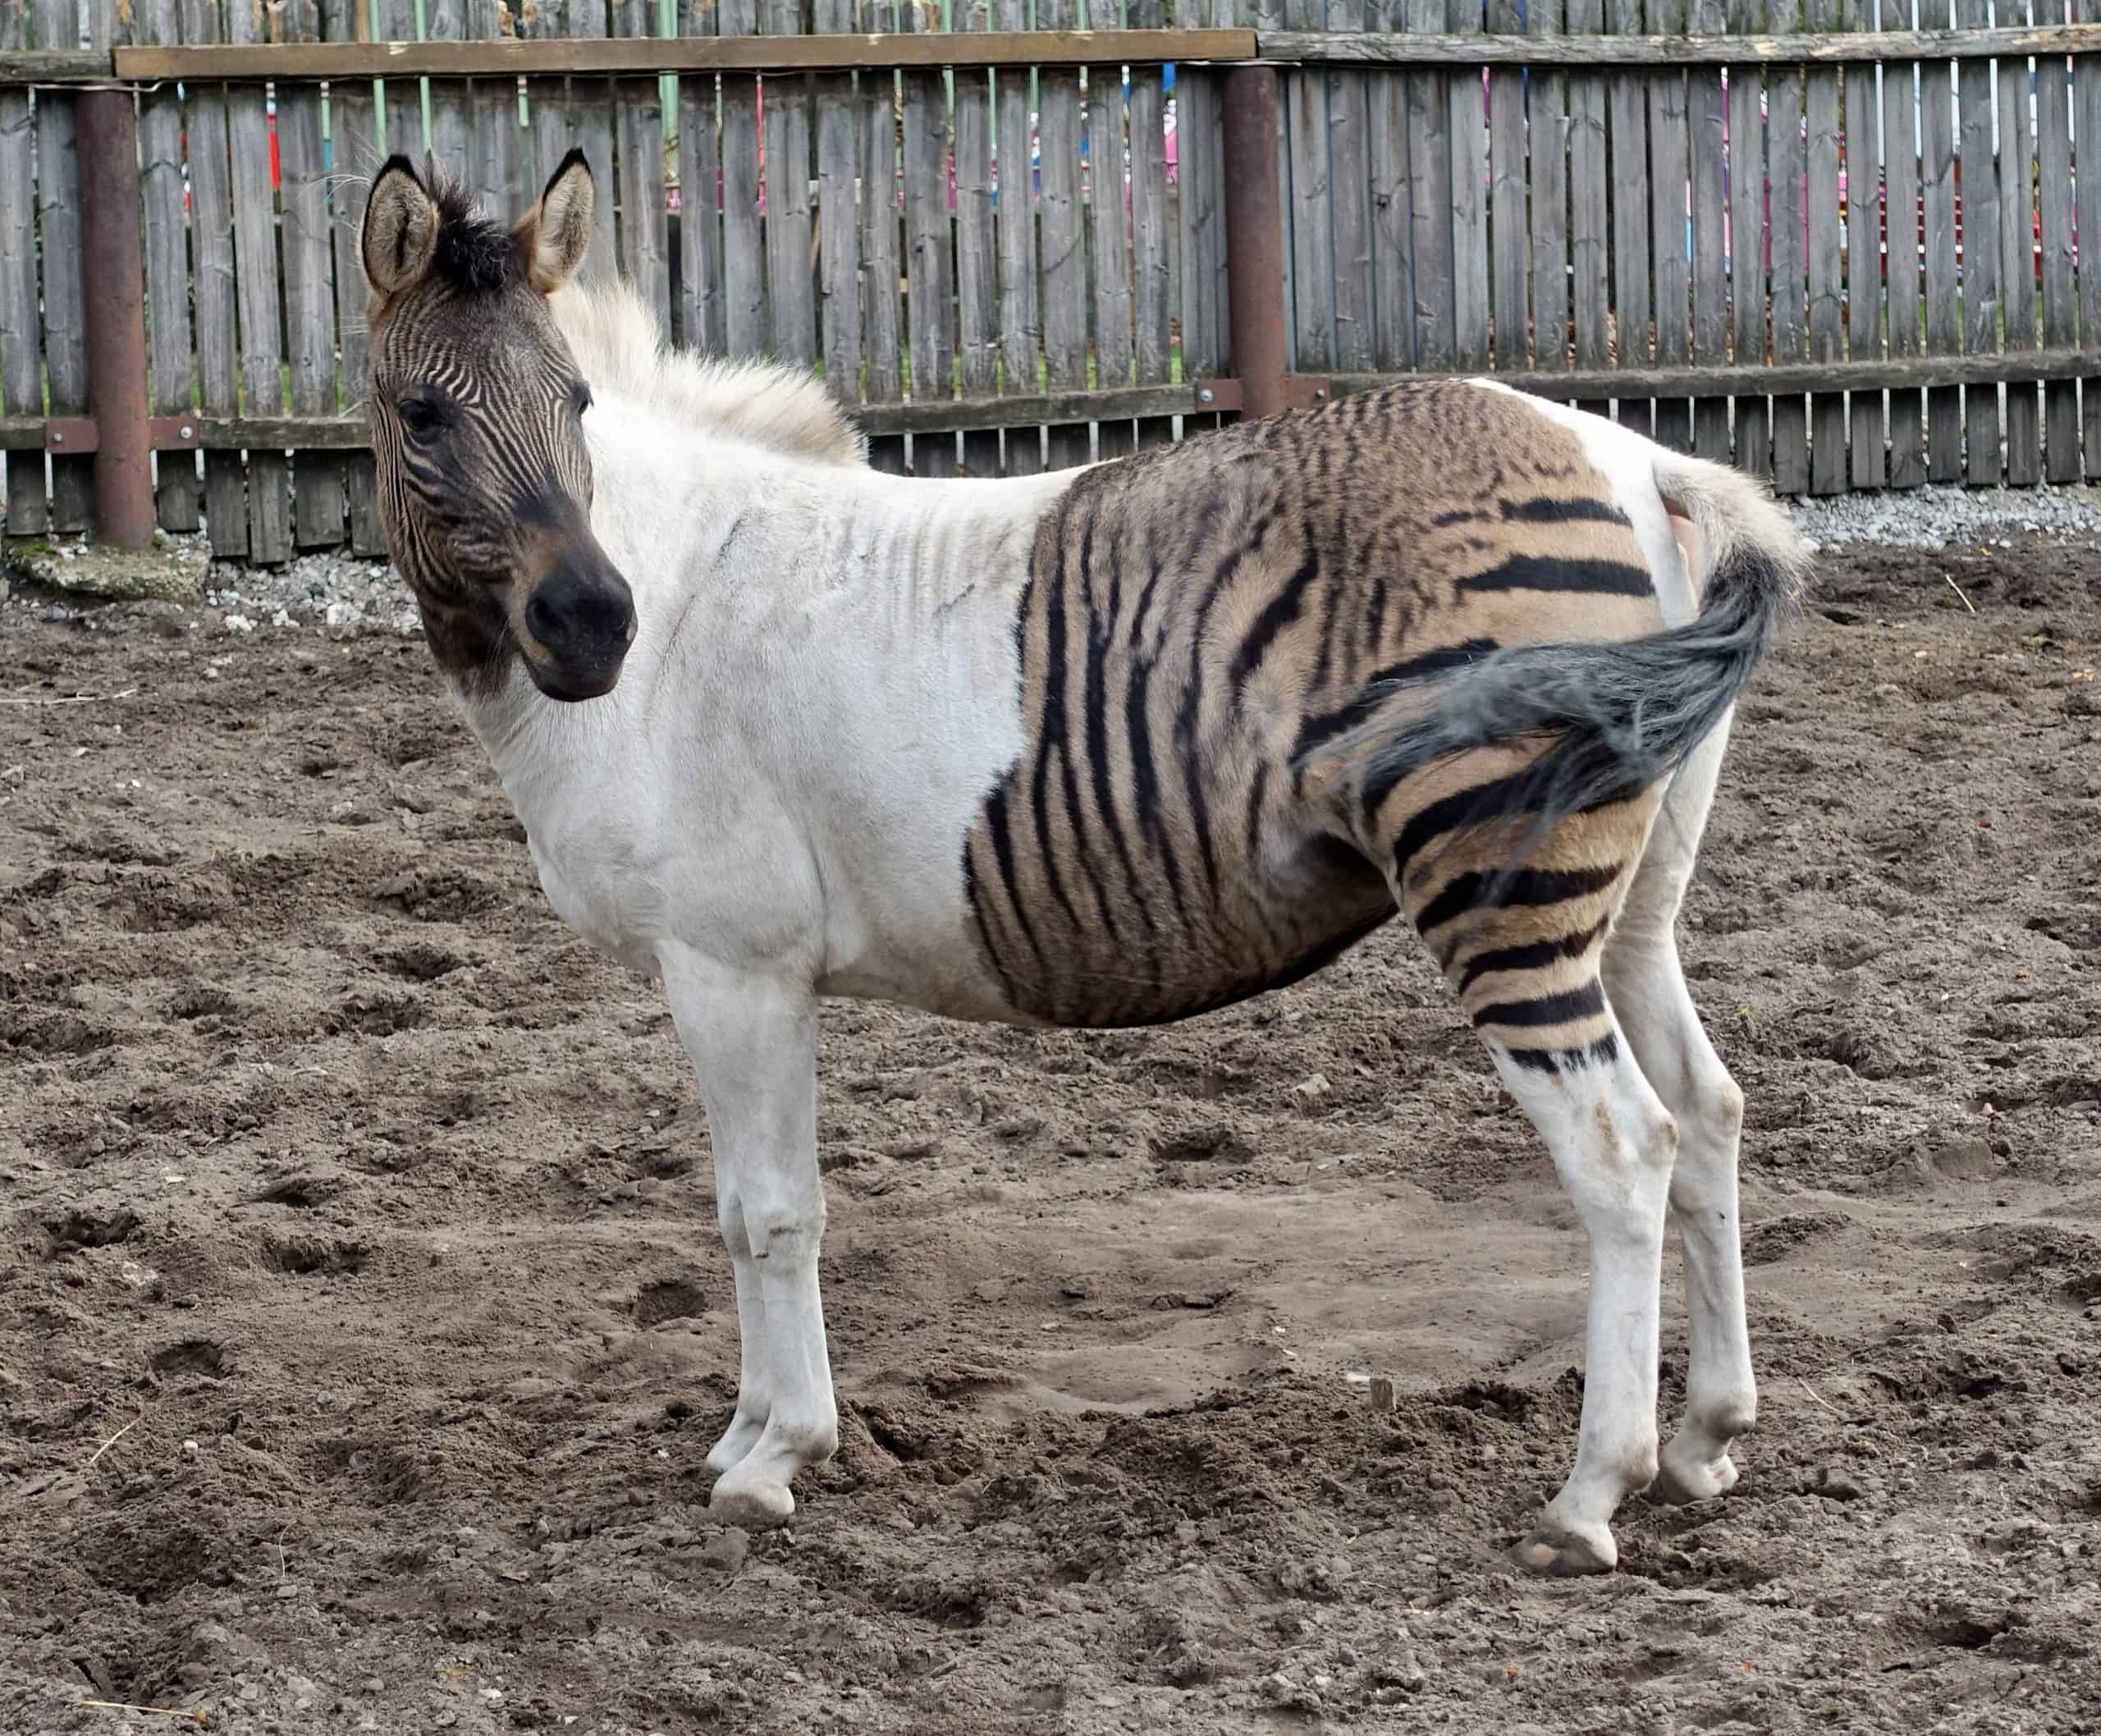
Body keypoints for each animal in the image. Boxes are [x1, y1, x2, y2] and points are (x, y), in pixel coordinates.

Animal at [361, 155, 1806, 1572]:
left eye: (575, 402)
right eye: (420, 414)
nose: (593, 626)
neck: (682, 602)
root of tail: (1633, 459)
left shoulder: (733, 963)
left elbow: (770, 1210)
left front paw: (776, 1458)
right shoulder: (732, 973)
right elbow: (737, 1205)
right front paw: (741, 1437)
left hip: (1503, 889)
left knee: (1622, 1147)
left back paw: (1592, 1490)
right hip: (1628, 906)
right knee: (1710, 1109)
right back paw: (1706, 1439)